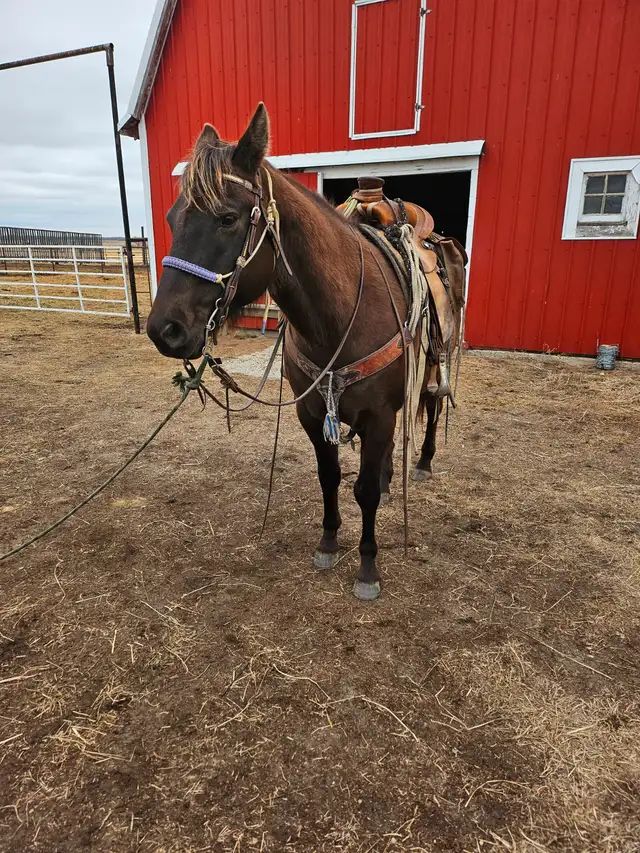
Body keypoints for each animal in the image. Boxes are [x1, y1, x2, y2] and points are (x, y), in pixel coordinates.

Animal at [146, 103, 464, 600]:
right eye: (171, 217)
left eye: (227, 218)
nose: (165, 329)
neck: (339, 317)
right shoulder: (313, 413)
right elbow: (329, 477)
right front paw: (329, 542)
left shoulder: (378, 414)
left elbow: (364, 492)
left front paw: (368, 568)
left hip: (435, 360)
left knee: (430, 405)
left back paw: (425, 460)